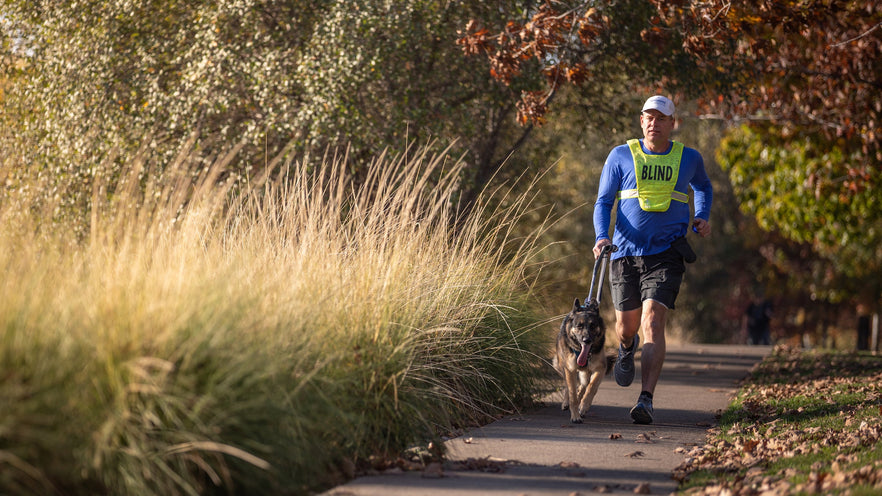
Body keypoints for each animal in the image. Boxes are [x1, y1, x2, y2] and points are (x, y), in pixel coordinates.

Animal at [552, 296, 608, 424]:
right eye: (579, 326)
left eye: (592, 326)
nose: (586, 340)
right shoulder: (570, 369)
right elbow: (572, 392)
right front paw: (575, 415)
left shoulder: (600, 368)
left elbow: (591, 387)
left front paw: (583, 406)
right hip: (561, 366)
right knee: (568, 386)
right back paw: (566, 402)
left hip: (586, 372)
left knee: (584, 384)